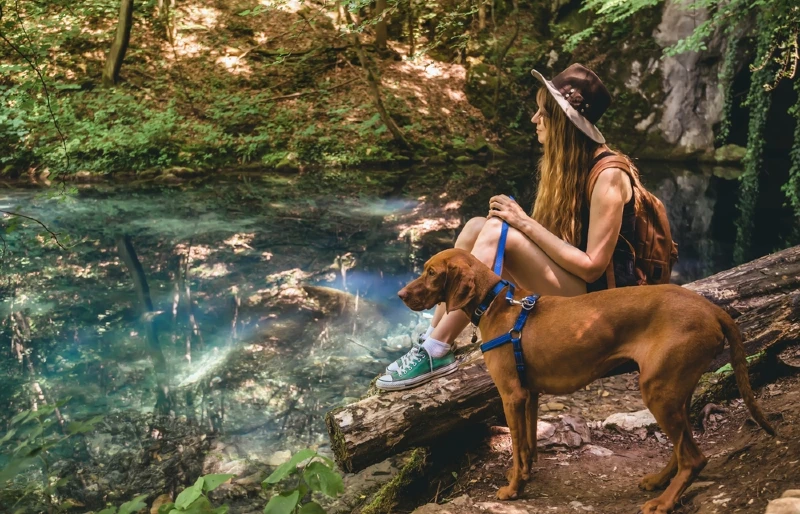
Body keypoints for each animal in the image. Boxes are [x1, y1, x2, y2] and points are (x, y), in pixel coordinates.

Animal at [400, 247, 776, 508]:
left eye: (431, 272)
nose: (401, 295)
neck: (496, 303)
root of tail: (712, 308)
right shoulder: (529, 394)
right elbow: (528, 445)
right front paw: (524, 477)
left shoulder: (511, 395)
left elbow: (516, 447)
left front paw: (512, 489)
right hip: (674, 388)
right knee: (684, 447)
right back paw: (658, 481)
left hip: (657, 390)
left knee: (694, 457)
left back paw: (663, 502)